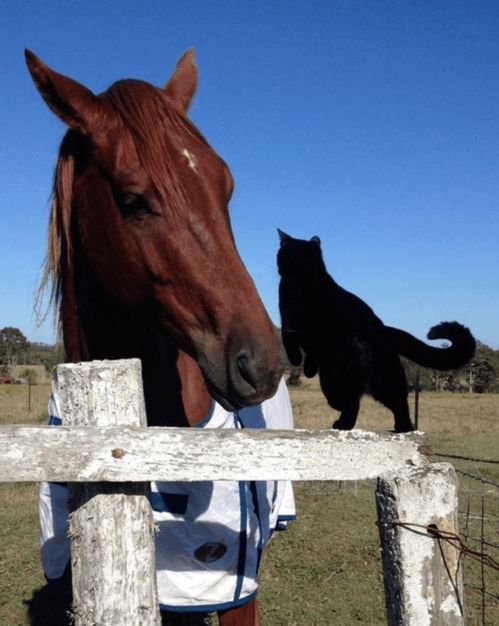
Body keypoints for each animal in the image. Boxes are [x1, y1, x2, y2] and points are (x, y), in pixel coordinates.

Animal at [278, 232, 476, 432]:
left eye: (281, 254)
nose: (278, 267)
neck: (306, 277)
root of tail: (381, 329)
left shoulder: (291, 324)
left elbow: (288, 340)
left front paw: (297, 360)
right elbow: (307, 354)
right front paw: (309, 369)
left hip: (341, 378)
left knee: (352, 403)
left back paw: (343, 423)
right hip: (383, 378)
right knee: (398, 402)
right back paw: (403, 427)